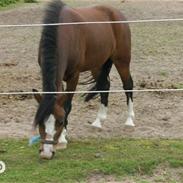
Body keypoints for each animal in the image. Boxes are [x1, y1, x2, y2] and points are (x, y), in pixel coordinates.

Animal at [32, 0, 134, 159]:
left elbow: (67, 105)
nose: (46, 153)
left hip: (122, 60)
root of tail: (116, 13)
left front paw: (62, 139)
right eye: (40, 122)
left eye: (60, 121)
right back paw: (98, 121)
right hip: (98, 64)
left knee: (128, 84)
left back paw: (129, 120)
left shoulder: (74, 76)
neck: (63, 33)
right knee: (105, 85)